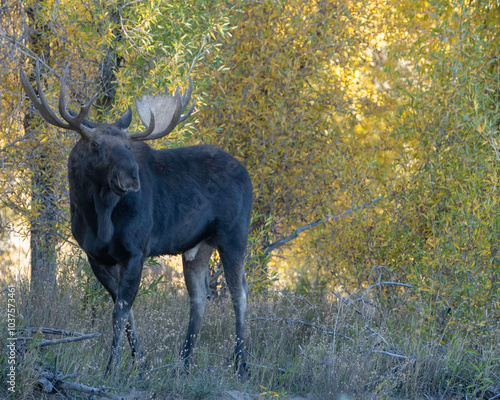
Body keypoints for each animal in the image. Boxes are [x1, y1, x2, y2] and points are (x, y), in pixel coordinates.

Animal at [21, 61, 252, 376]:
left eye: (129, 147)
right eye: (96, 145)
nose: (131, 178)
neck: (99, 220)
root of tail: (247, 174)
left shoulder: (136, 250)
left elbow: (120, 310)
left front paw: (112, 368)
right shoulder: (96, 256)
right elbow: (125, 309)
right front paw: (139, 363)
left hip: (234, 235)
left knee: (239, 293)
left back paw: (241, 364)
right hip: (197, 247)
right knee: (199, 297)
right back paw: (184, 364)